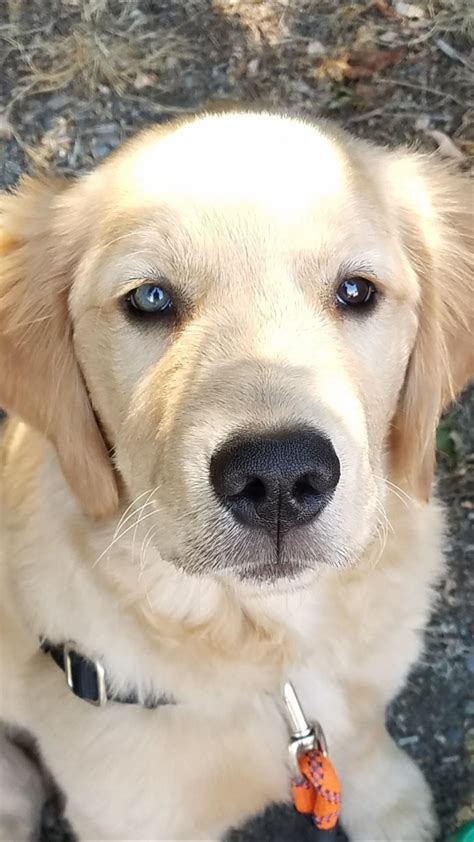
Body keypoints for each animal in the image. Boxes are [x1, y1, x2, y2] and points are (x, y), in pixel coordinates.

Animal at [0, 108, 472, 836]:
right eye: (150, 298)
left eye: (357, 290)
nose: (276, 478)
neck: (272, 653)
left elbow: (363, 739)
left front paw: (392, 806)